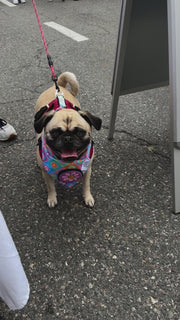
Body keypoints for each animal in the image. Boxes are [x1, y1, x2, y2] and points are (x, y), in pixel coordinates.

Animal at [33, 71, 101, 209]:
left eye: (80, 132)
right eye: (55, 132)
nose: (68, 138)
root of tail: (58, 86)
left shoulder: (87, 170)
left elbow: (86, 185)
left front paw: (87, 197)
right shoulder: (46, 174)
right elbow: (50, 187)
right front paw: (52, 198)